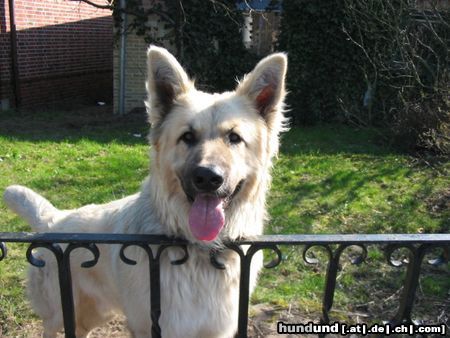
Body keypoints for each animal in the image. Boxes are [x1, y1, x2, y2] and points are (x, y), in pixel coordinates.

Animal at [3, 45, 286, 338]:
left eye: (234, 138)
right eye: (187, 137)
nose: (208, 178)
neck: (199, 250)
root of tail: (55, 219)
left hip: (96, 313)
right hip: (59, 313)